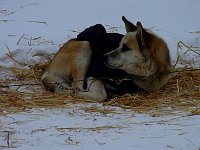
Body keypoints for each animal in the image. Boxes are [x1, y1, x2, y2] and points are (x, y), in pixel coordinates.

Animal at [41, 16, 173, 101]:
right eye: (119, 45)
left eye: (125, 48)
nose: (102, 58)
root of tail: (47, 70)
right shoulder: (93, 75)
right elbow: (100, 95)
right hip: (85, 47)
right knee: (75, 87)